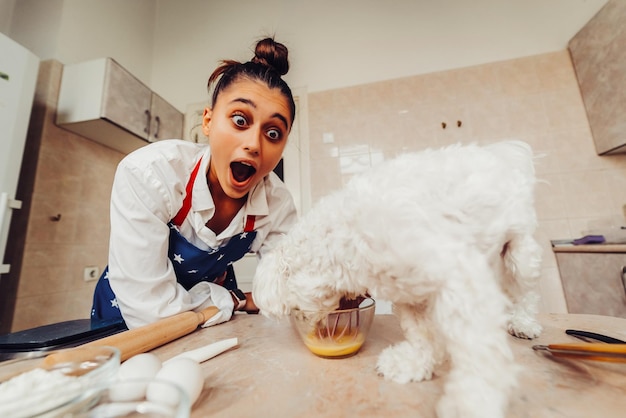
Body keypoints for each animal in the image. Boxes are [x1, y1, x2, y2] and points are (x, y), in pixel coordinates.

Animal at [251, 141, 540, 418]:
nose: (318, 330)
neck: (347, 236)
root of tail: (501, 151)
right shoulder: (411, 294)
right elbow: (422, 334)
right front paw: (413, 364)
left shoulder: (458, 275)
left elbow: (478, 347)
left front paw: (472, 400)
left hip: (520, 255)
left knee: (526, 293)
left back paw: (523, 323)